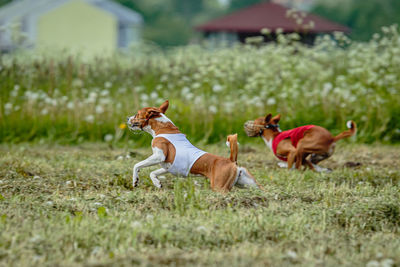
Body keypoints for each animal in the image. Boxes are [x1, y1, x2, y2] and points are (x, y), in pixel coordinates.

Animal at [126, 100, 260, 193]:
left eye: (137, 114)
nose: (127, 118)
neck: (162, 128)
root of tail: (231, 160)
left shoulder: (159, 156)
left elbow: (136, 165)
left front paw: (135, 180)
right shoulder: (169, 166)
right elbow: (152, 173)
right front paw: (157, 183)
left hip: (219, 187)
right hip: (248, 183)